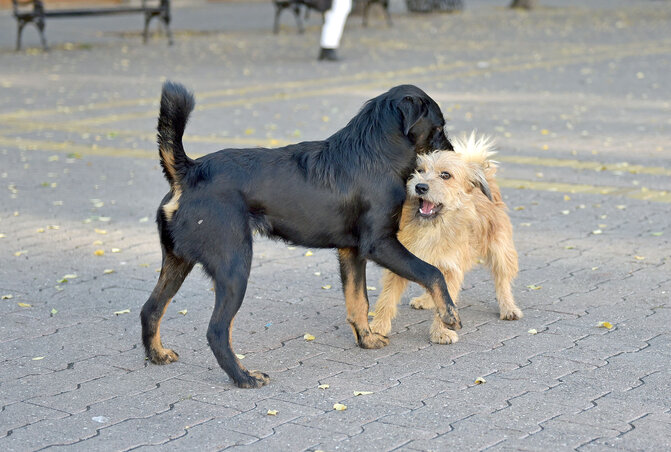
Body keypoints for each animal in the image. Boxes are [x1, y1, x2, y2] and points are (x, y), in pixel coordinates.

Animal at [142, 82, 462, 388]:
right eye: (439, 128)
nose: (454, 156)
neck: (375, 153)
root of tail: (189, 172)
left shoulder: (351, 252)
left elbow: (358, 301)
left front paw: (366, 338)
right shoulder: (380, 245)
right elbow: (432, 272)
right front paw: (449, 314)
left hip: (177, 262)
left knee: (151, 309)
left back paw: (157, 354)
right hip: (234, 267)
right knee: (217, 331)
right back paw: (244, 378)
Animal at [370, 132, 524, 344]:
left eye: (445, 175)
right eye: (419, 170)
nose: (420, 186)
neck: (431, 228)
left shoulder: (451, 269)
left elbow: (445, 298)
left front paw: (440, 332)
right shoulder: (400, 264)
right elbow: (387, 298)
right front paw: (377, 327)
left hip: (500, 250)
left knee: (502, 280)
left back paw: (508, 308)